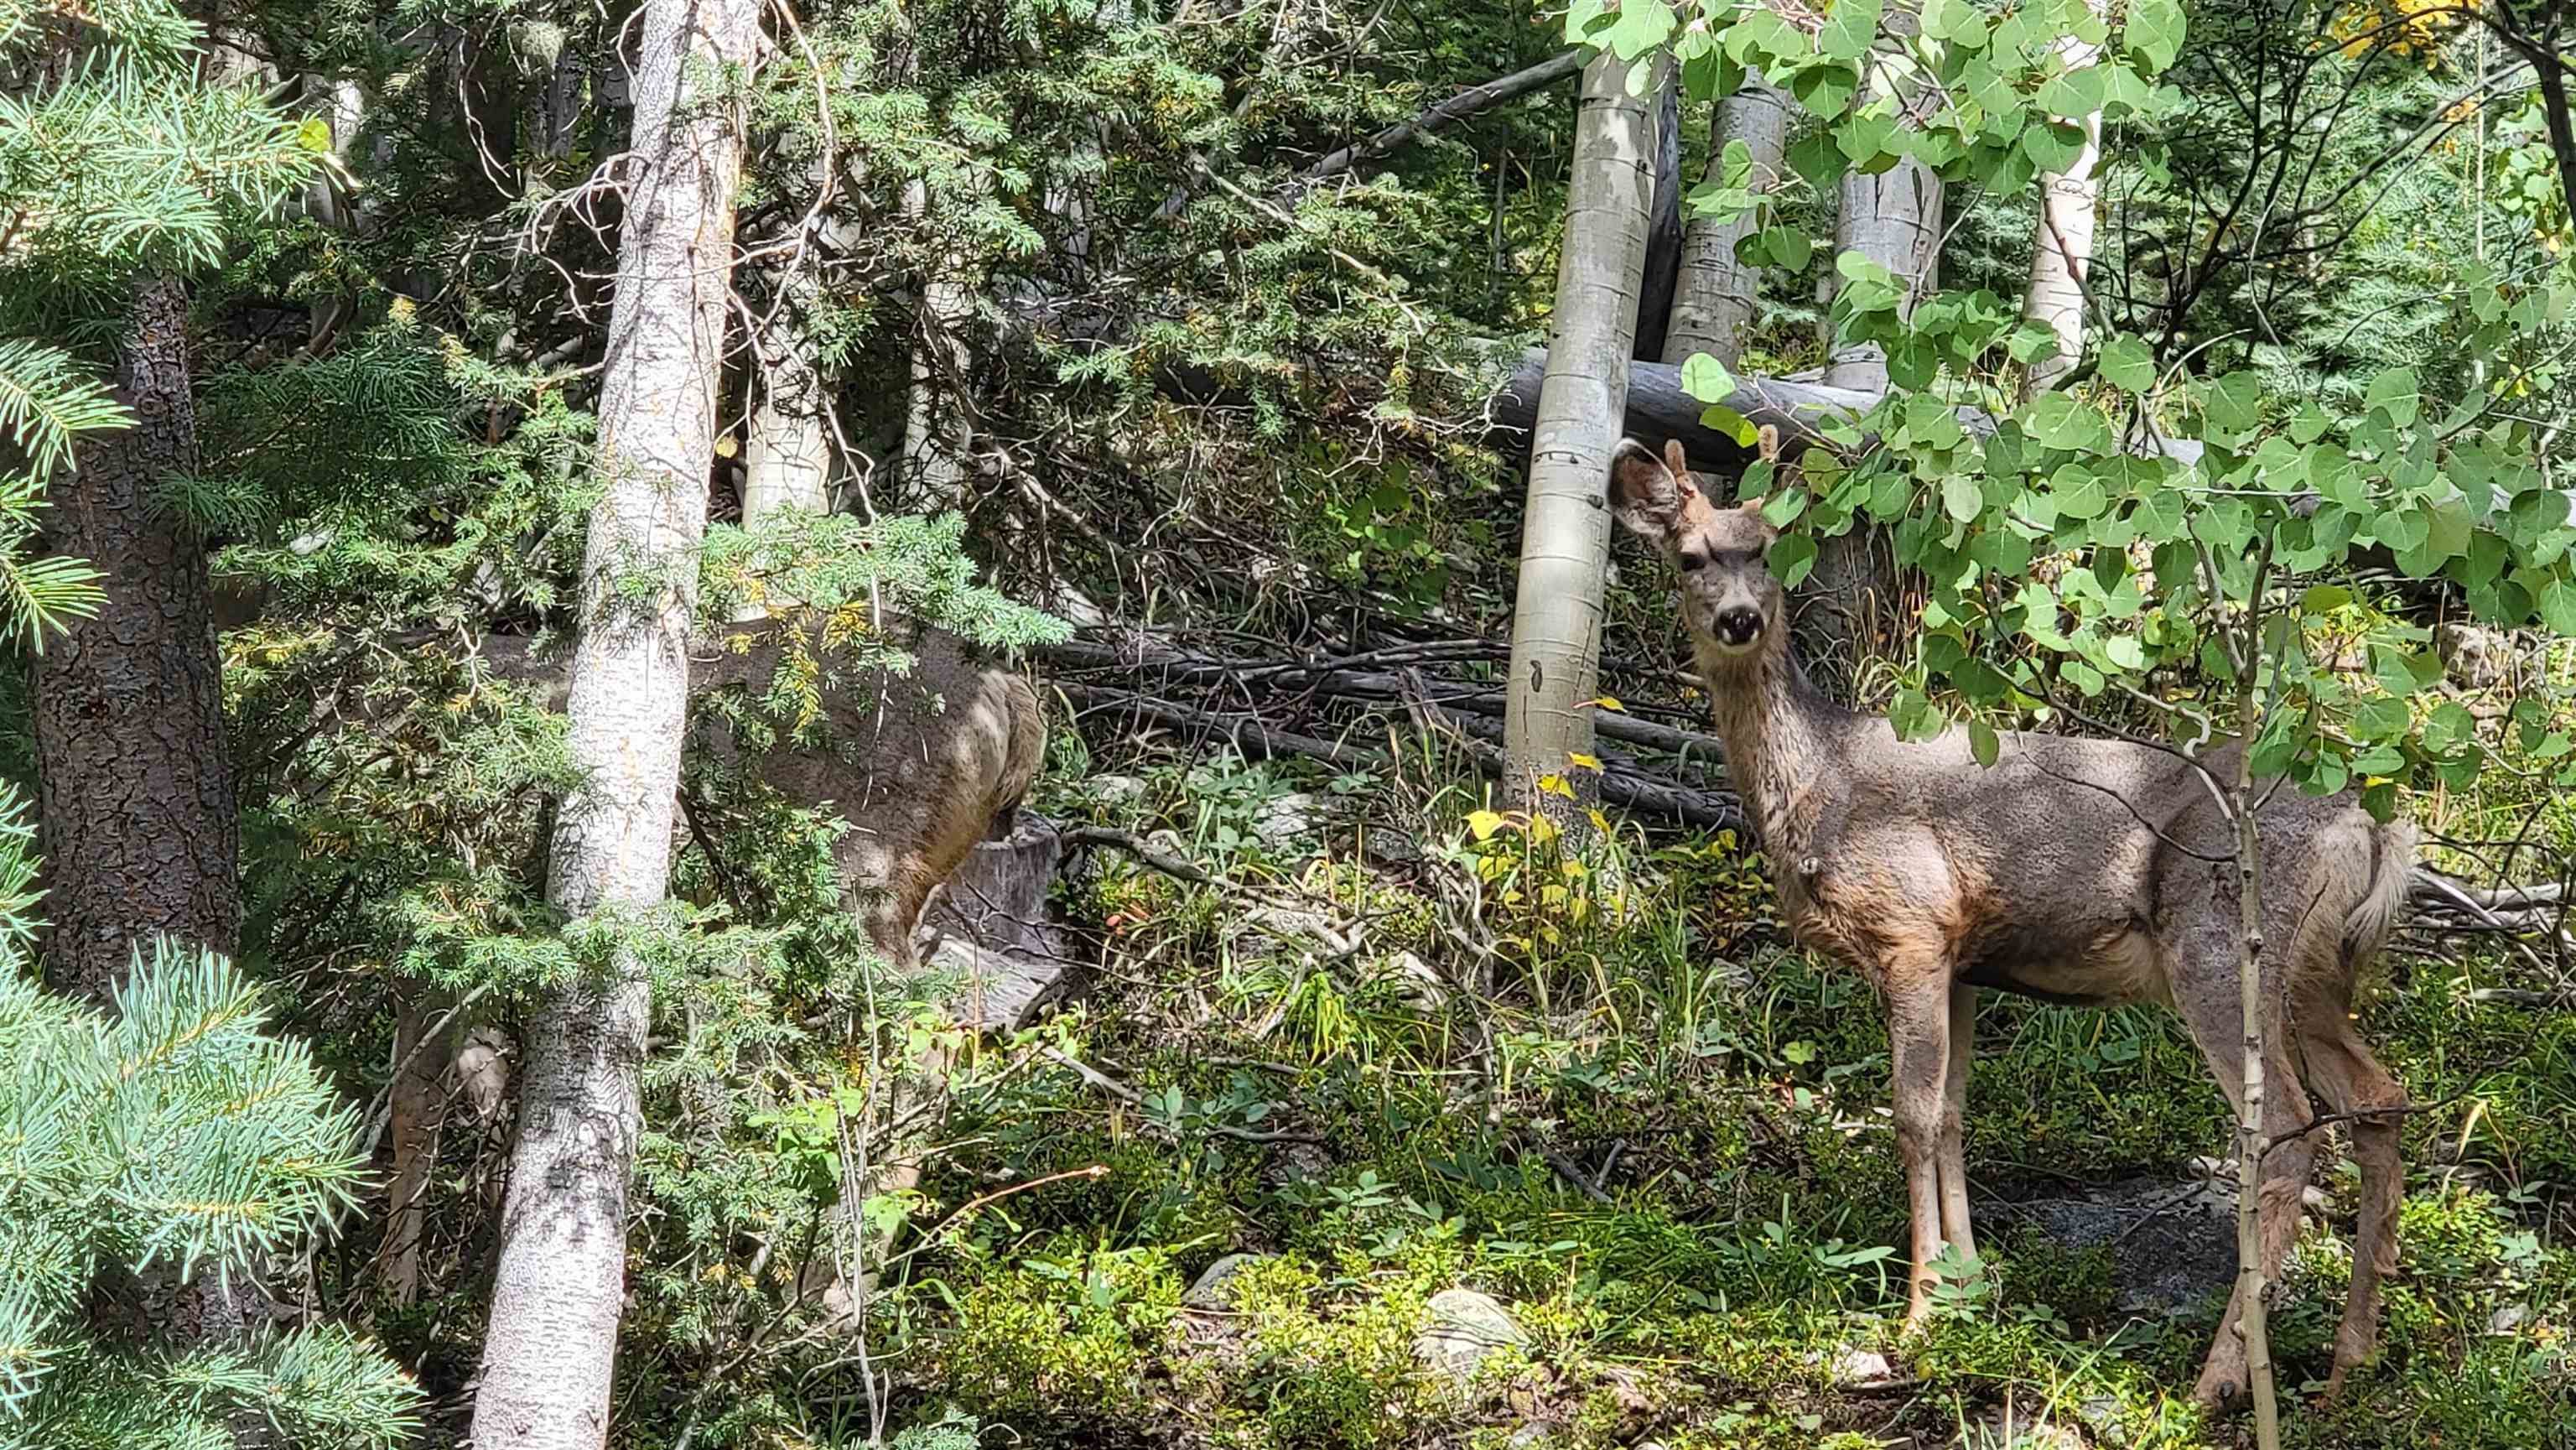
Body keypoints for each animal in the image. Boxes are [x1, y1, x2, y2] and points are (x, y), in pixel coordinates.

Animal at [1607, 438, 2411, 1411]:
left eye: (1768, 551)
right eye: (1689, 557)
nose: (1736, 618)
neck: (1820, 784)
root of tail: (2371, 827)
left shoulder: (1910, 926)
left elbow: (1912, 1113)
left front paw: (1919, 1311)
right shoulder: (1961, 960)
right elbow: (1955, 1112)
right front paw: (1970, 1286)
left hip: (2222, 946)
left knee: (2289, 1130)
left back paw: (2218, 1376)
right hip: (2321, 971)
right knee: (2378, 1100)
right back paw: (2349, 1362)